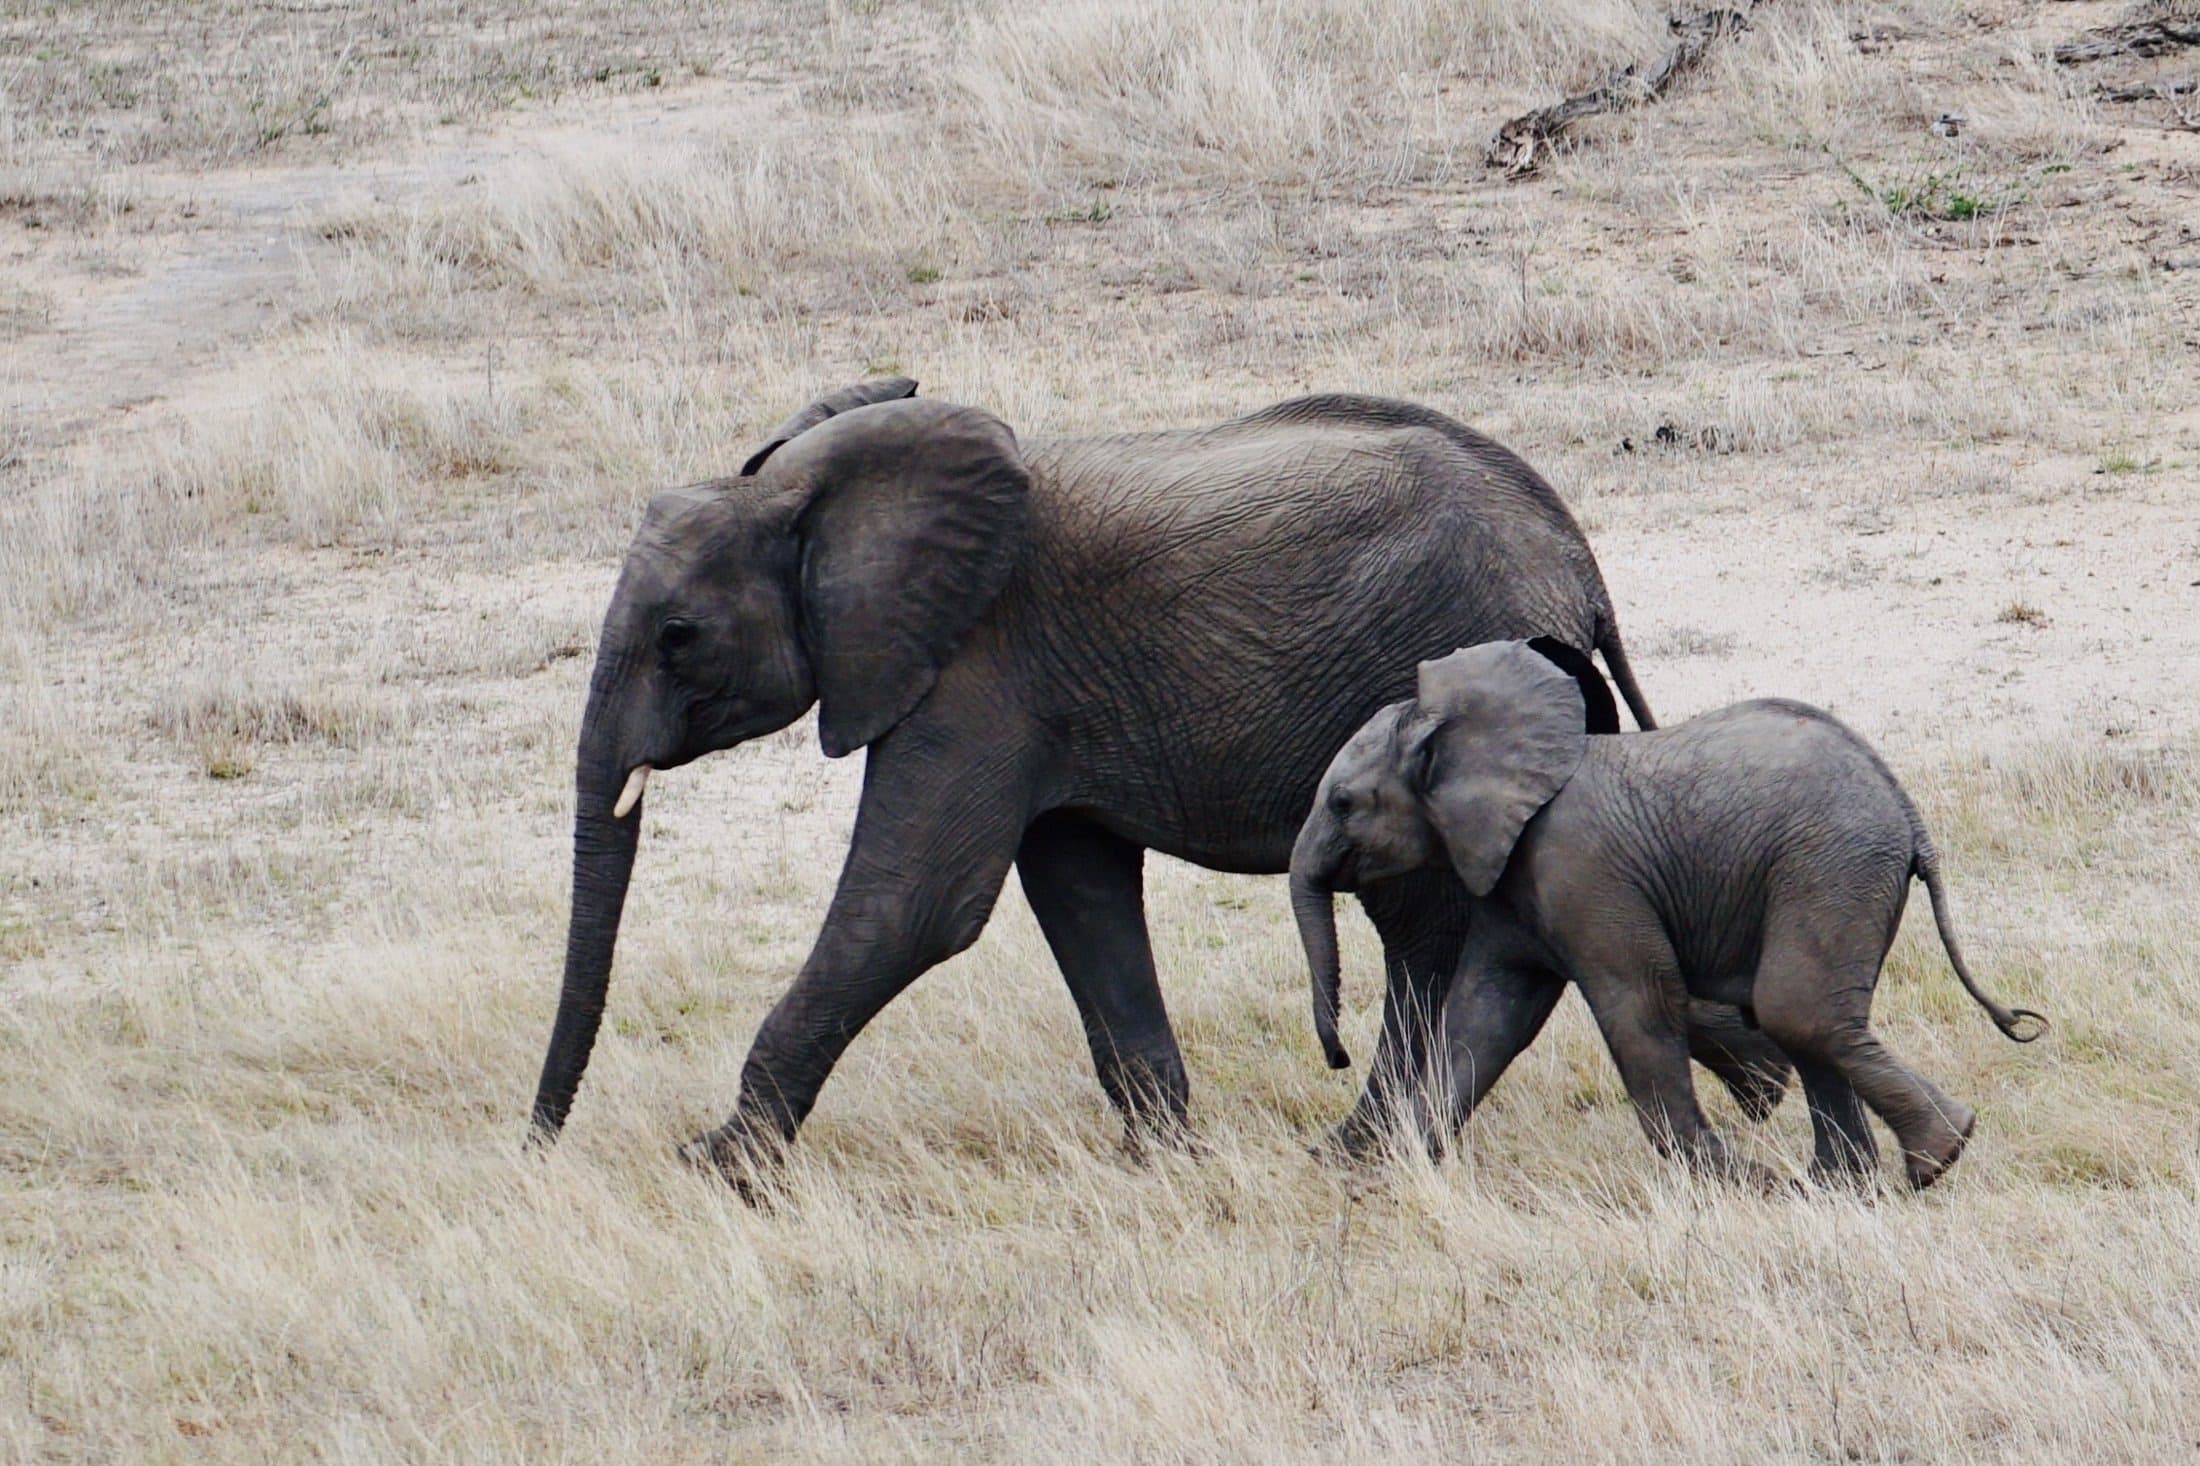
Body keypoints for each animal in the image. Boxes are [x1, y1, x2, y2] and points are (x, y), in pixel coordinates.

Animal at [528, 377, 1791, 1183]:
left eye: (678, 636)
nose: (536, 1149)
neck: (817, 494)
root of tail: (1578, 564)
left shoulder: (971, 671)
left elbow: (916, 908)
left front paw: (715, 1167)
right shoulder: (1029, 698)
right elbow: (1078, 892)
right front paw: (1164, 1158)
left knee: (1424, 928)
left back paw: (1355, 1153)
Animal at [1289, 639, 2047, 1189]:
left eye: (1344, 803)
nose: (1335, 1056)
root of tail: (1911, 817)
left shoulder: (1582, 869)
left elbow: (1638, 1010)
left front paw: (1742, 1185)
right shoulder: (1511, 882)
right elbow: (1487, 1016)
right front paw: (1390, 1178)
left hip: (1832, 866)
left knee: (1797, 1010)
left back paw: (1928, 1160)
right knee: (1813, 1020)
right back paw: (1845, 1186)